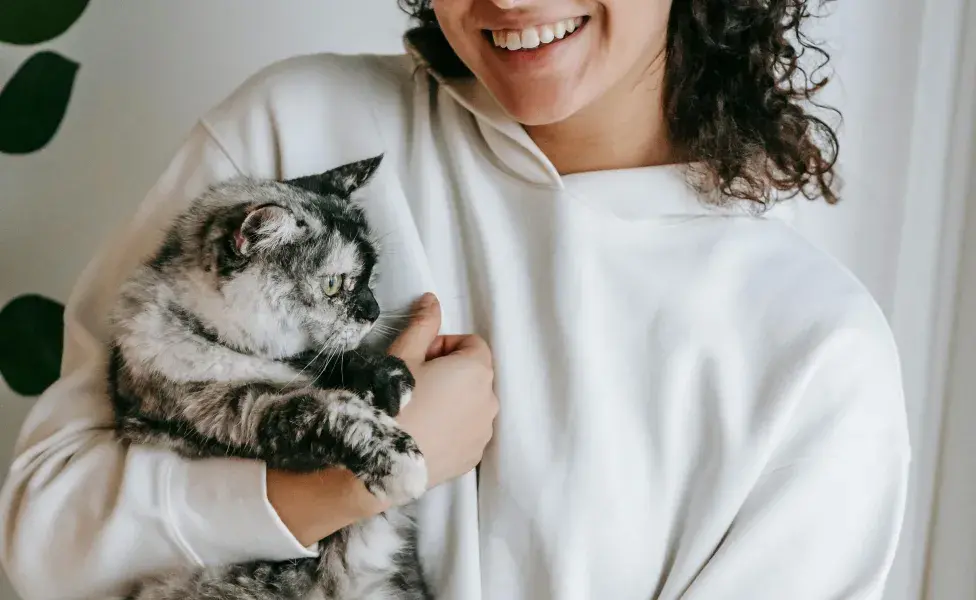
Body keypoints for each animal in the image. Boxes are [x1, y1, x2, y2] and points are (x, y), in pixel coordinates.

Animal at [105, 156, 432, 600]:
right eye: (333, 285)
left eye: (371, 276)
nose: (374, 311)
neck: (219, 341)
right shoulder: (241, 410)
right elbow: (329, 407)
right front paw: (398, 460)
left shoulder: (306, 361)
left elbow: (333, 360)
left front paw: (389, 378)